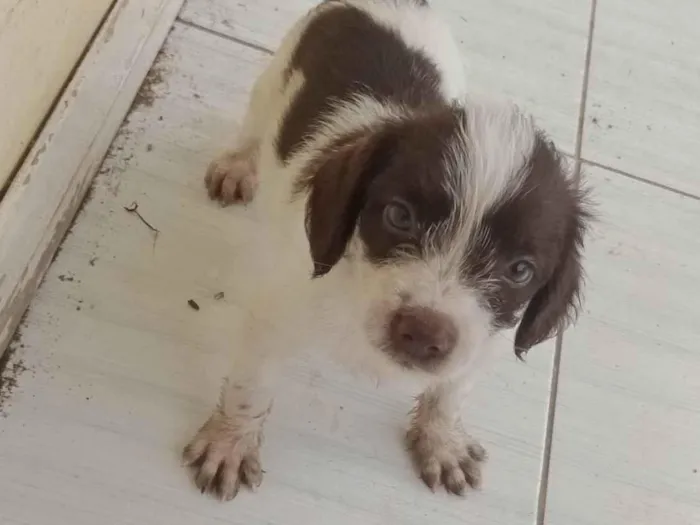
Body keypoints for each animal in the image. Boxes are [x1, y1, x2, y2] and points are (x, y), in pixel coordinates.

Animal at [183, 0, 588, 500]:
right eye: (399, 216)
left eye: (520, 270)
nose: (423, 333)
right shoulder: (276, 315)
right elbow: (250, 387)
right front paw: (230, 442)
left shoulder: (481, 343)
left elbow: (450, 393)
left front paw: (441, 440)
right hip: (275, 79)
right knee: (256, 127)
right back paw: (238, 164)